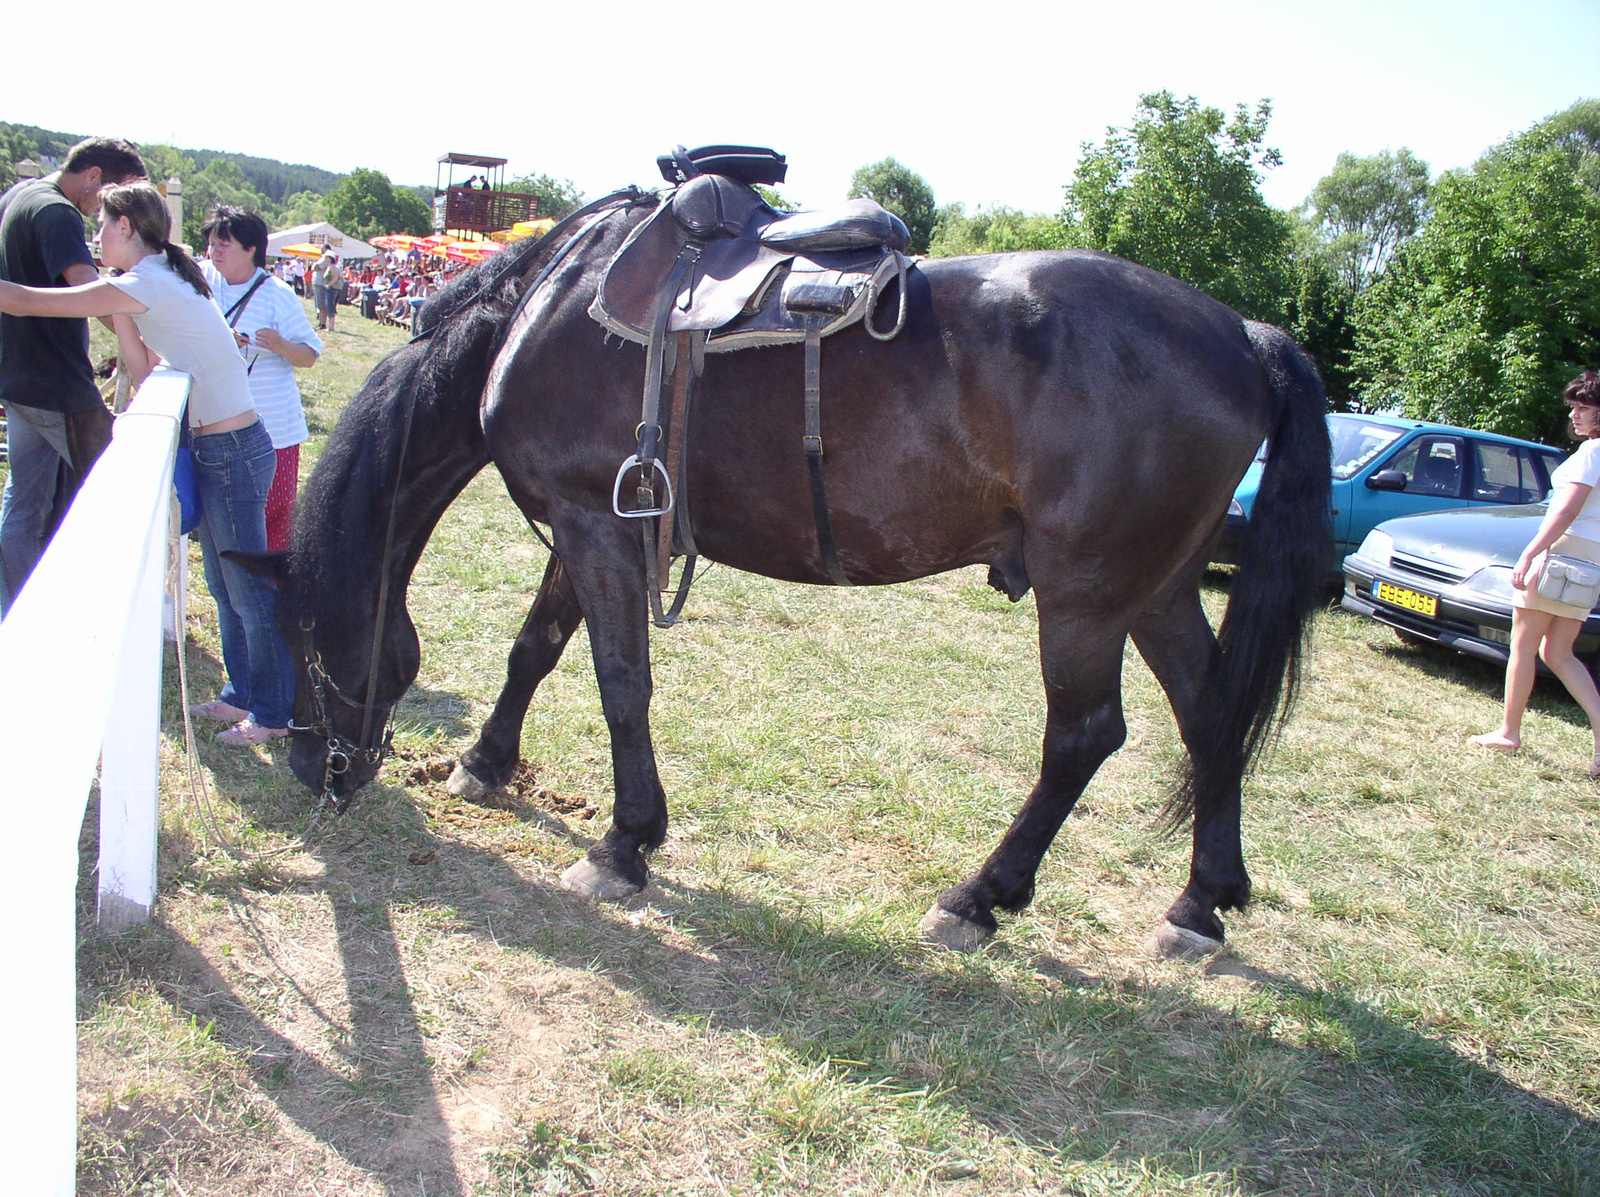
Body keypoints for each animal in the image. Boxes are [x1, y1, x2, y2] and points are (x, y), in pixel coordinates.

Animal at [272, 192, 1324, 960]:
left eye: (303, 640)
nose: (312, 770)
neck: (547, 306)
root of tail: (1244, 332)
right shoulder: (594, 526)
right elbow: (535, 649)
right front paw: (486, 763)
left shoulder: (592, 527)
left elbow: (620, 683)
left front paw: (623, 844)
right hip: (1158, 588)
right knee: (1209, 712)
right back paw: (1200, 902)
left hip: (1088, 596)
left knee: (1083, 736)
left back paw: (979, 896)